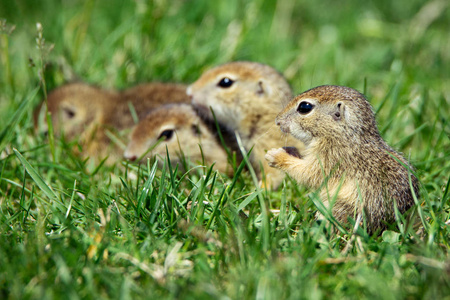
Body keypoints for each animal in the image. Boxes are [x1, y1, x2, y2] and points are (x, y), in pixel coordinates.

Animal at [266, 85, 420, 234]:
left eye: (305, 107)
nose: (277, 120)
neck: (343, 135)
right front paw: (289, 150)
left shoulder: (331, 159)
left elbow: (308, 173)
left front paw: (276, 156)